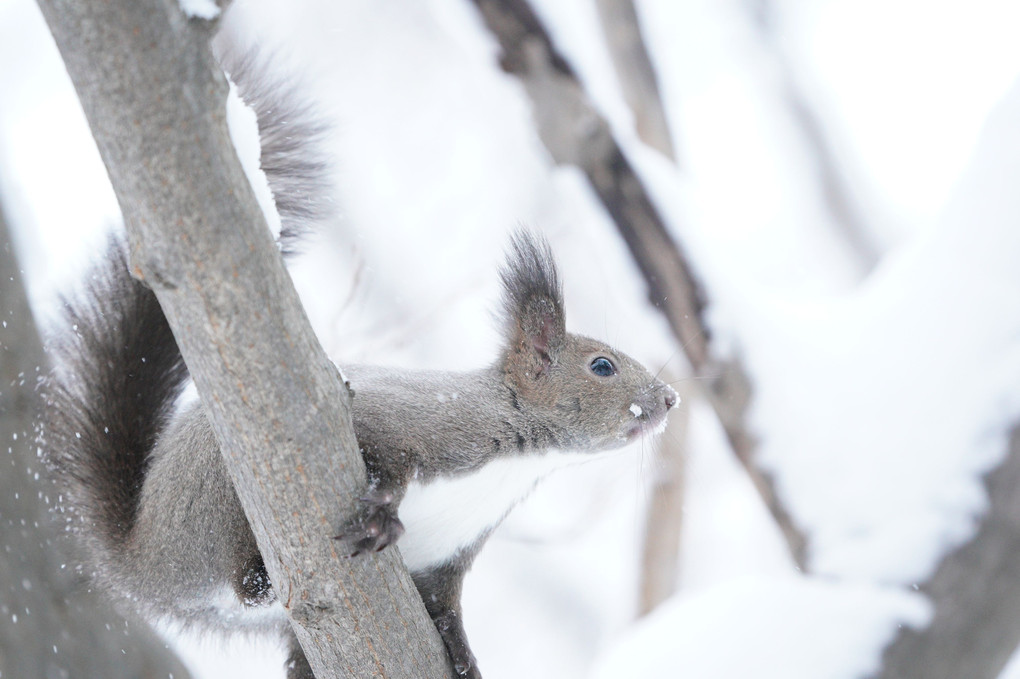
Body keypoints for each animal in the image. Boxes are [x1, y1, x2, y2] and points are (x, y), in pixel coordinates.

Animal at [41, 51, 677, 676]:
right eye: (602, 366)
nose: (669, 398)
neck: (517, 461)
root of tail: (141, 560)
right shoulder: (424, 426)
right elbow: (380, 450)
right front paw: (381, 516)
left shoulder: (451, 558)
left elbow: (449, 607)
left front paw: (465, 654)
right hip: (216, 493)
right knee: (243, 579)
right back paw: (260, 573)